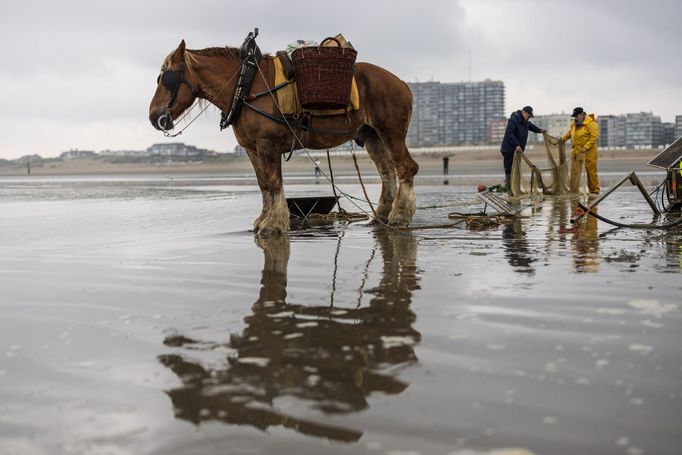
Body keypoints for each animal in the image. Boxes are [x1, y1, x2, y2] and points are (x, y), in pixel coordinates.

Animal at [146, 41, 418, 237]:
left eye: (167, 78)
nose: (153, 116)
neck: (244, 86)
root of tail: (402, 83)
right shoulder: (252, 149)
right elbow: (264, 185)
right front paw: (263, 219)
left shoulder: (268, 145)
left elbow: (274, 183)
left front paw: (274, 224)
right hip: (373, 136)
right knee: (387, 173)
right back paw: (382, 216)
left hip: (391, 132)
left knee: (406, 168)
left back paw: (399, 216)